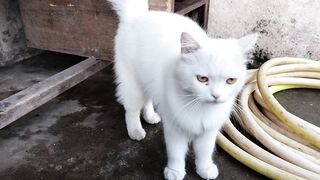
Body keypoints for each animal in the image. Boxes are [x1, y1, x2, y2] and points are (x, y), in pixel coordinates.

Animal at [107, 0, 258, 179]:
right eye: (202, 79)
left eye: (230, 81)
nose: (216, 95)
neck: (201, 108)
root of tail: (138, 15)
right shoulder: (175, 127)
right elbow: (176, 153)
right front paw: (175, 171)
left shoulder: (209, 130)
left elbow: (205, 151)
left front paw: (205, 168)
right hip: (133, 85)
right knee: (131, 110)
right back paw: (136, 131)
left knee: (148, 99)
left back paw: (150, 116)